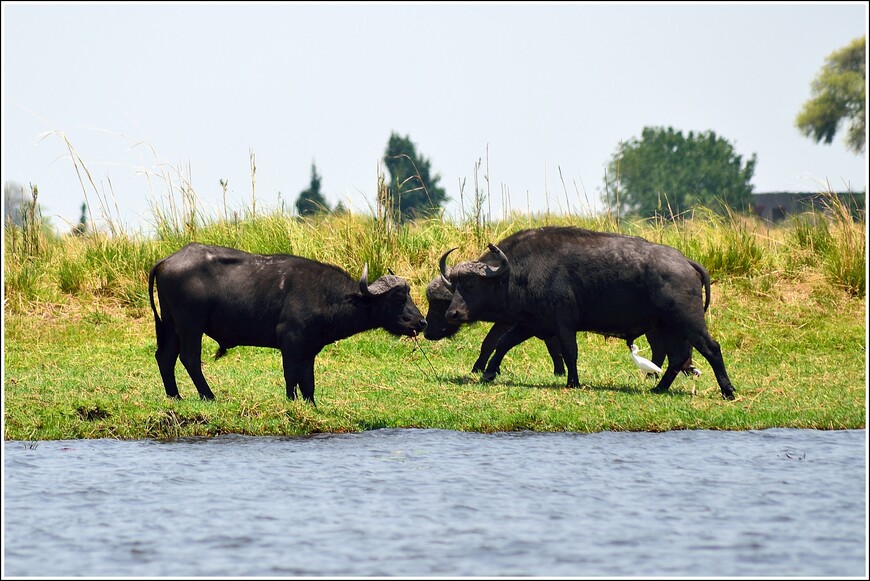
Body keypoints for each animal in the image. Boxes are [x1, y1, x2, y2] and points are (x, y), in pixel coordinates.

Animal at [150, 244, 430, 404]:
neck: (327, 296)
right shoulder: (291, 342)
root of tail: (165, 261)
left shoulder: (310, 349)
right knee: (189, 358)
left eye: (409, 294)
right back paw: (208, 396)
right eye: (397, 298)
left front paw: (311, 405)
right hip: (190, 325)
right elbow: (290, 375)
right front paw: (291, 401)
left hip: (172, 326)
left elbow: (308, 380)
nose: (422, 321)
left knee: (165, 356)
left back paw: (175, 396)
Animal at [442, 227, 736, 398]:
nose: (452, 314)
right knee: (677, 358)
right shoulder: (530, 324)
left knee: (711, 349)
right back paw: (658, 388)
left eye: (471, 285)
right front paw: (489, 373)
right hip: (667, 327)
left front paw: (572, 382)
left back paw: (728, 390)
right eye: (454, 284)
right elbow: (503, 344)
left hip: (687, 322)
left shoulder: (564, 326)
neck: (520, 271)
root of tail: (685, 261)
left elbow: (570, 353)